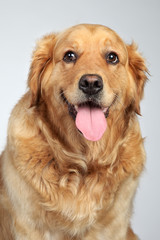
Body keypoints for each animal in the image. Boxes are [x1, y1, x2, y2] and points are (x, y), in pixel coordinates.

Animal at [0, 23, 148, 239]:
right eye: (69, 56)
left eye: (112, 57)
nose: (91, 83)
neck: (83, 162)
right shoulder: (28, 225)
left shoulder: (114, 225)